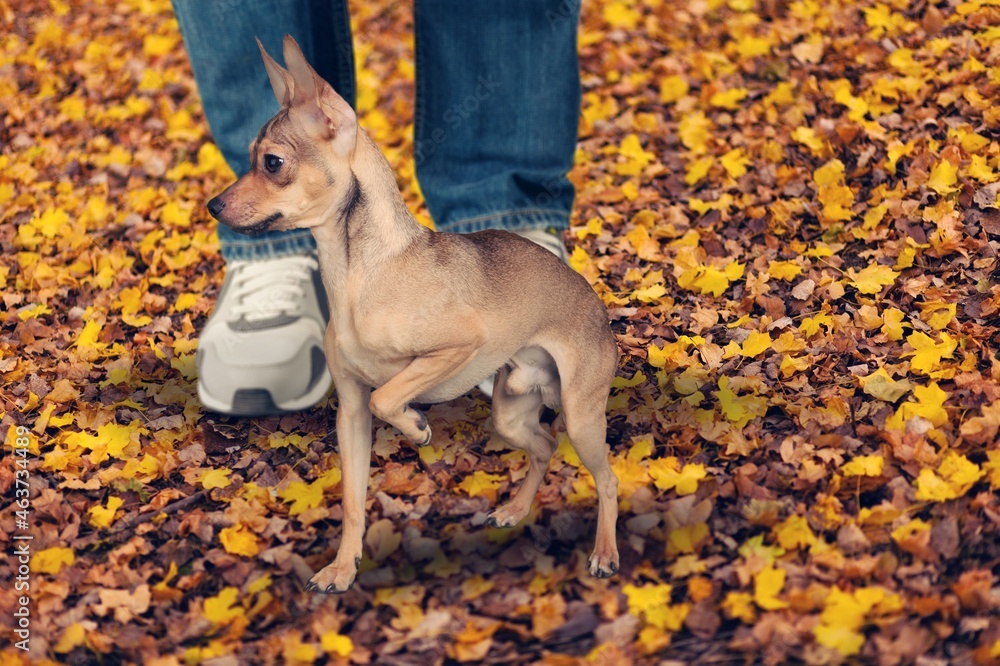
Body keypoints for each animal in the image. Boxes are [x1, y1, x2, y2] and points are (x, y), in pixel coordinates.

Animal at [207, 35, 620, 592]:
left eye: (271, 163)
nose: (213, 206)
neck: (359, 276)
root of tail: (599, 309)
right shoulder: (350, 415)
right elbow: (354, 501)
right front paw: (343, 568)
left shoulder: (455, 348)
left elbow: (388, 395)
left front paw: (417, 426)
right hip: (512, 411)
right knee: (543, 446)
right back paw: (515, 509)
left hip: (580, 416)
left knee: (607, 478)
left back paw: (604, 552)